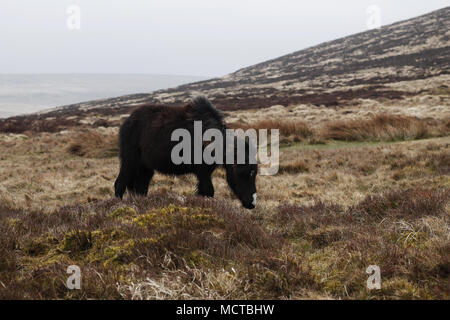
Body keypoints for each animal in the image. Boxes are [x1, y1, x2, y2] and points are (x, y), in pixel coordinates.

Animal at [114, 96, 258, 209]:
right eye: (245, 172)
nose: (252, 203)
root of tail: (127, 122)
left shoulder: (205, 173)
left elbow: (204, 192)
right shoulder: (202, 172)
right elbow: (208, 191)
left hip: (146, 169)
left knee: (140, 189)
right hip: (130, 162)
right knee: (119, 184)